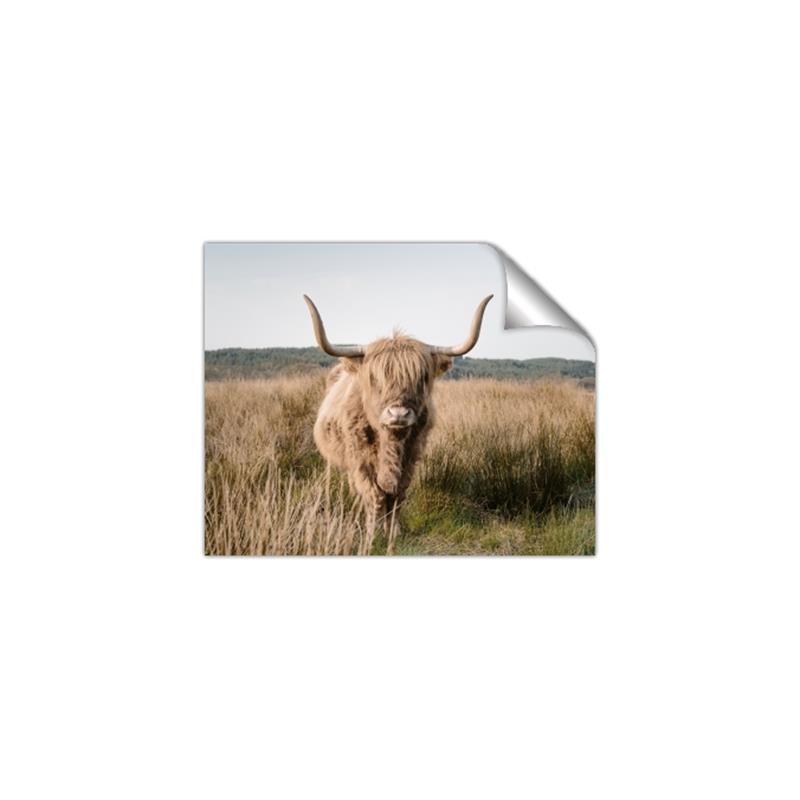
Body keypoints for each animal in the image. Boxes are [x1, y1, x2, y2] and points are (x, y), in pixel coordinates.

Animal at [303, 294, 493, 531]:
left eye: (422, 377)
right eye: (374, 378)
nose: (399, 414)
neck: (391, 443)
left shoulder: (411, 456)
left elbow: (397, 495)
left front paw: (393, 531)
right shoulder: (360, 460)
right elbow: (375, 494)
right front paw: (373, 532)